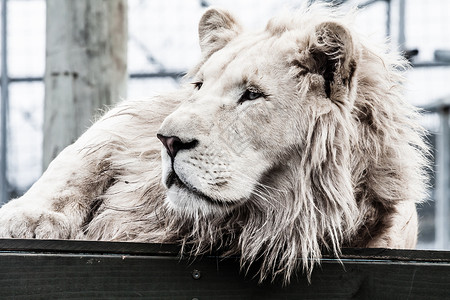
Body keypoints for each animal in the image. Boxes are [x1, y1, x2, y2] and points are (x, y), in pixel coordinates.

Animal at [0, 3, 428, 282]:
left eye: (251, 95)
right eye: (200, 87)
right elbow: (78, 163)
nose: (168, 140)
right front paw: (30, 220)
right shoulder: (124, 128)